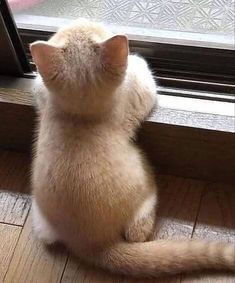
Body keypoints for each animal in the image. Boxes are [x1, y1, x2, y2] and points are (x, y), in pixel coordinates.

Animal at [30, 20, 234, 280]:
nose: (84, 20)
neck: (78, 115)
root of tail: (93, 243)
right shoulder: (139, 95)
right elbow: (145, 78)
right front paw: (137, 59)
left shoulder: (42, 94)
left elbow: (38, 87)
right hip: (142, 172)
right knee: (137, 231)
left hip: (41, 219)